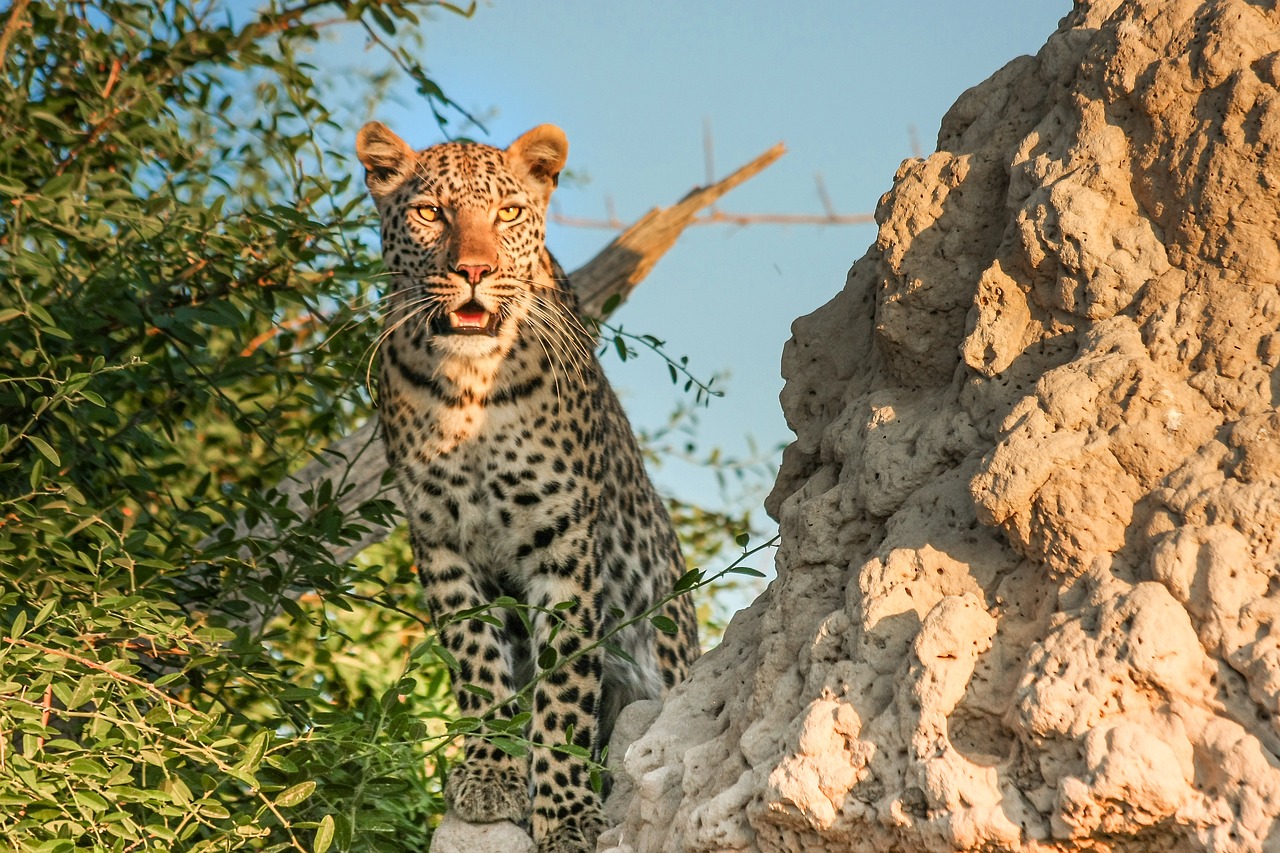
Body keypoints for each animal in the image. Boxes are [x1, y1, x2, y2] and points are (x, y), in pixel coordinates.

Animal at [355, 121, 701, 850]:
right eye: (430, 212)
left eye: (509, 213)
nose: (474, 272)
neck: (469, 386)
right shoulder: (440, 540)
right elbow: (477, 662)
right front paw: (490, 775)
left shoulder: (562, 540)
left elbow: (564, 684)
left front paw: (566, 813)